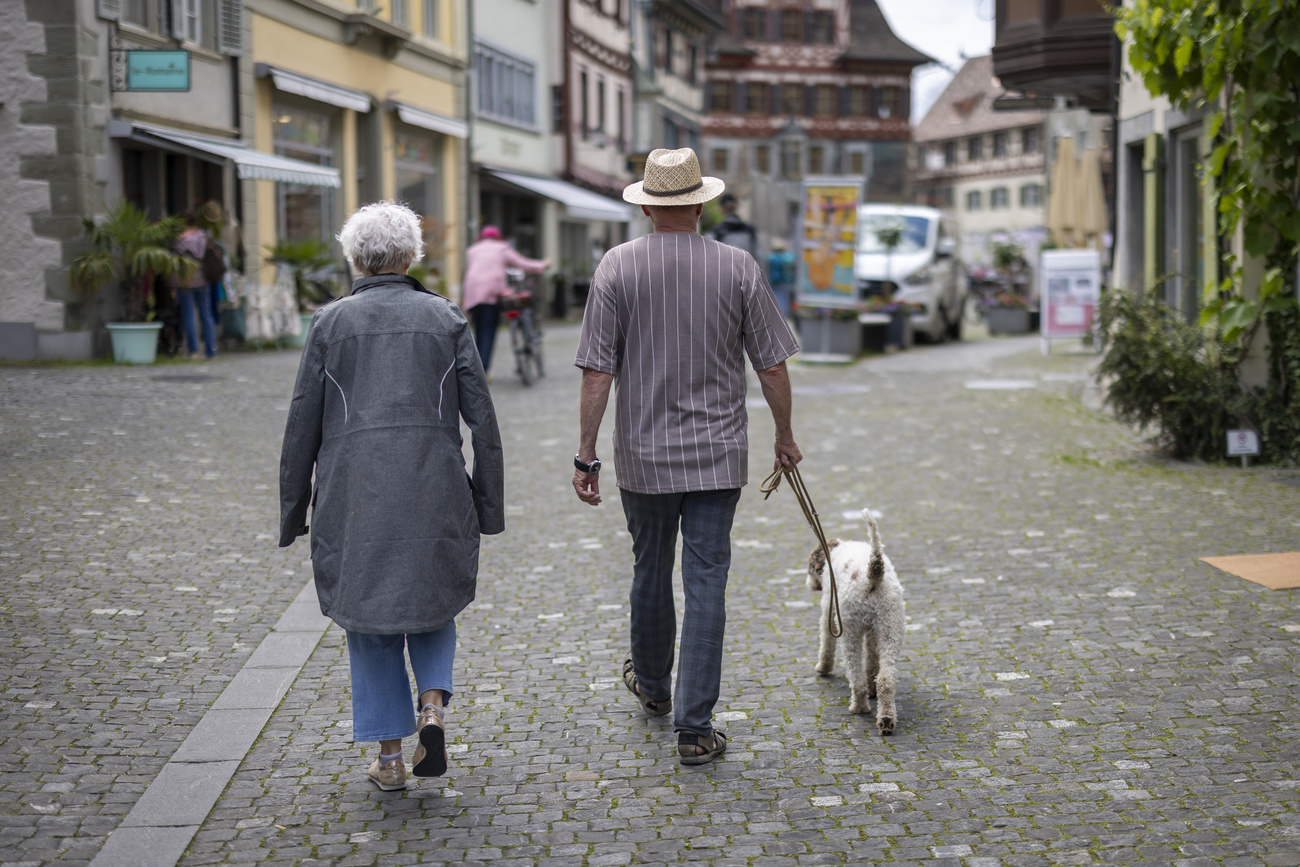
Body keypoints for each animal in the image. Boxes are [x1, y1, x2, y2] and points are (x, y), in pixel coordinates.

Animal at [806, 512, 909, 738]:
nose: (809, 585)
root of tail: (874, 571)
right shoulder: (872, 631)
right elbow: (871, 661)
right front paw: (872, 689)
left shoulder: (830, 606)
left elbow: (826, 638)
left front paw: (823, 667)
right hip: (890, 627)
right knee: (885, 678)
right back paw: (886, 719)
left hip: (850, 631)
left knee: (856, 676)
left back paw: (859, 707)